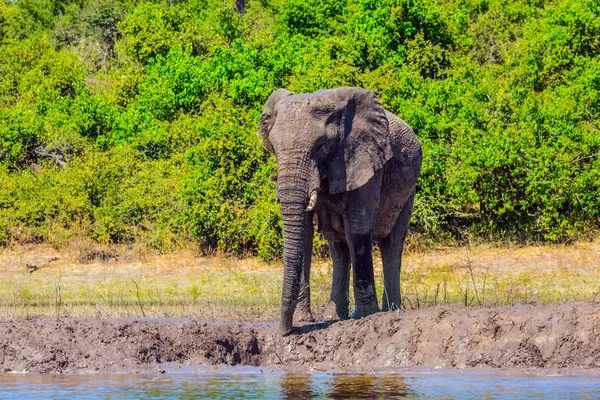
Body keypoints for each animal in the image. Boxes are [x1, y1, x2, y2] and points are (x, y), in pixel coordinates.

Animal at [258, 86, 422, 334]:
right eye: (274, 148)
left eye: (321, 146)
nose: (286, 331)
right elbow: (305, 234)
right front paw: (305, 320)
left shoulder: (365, 159)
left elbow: (358, 227)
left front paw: (366, 316)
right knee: (339, 247)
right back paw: (335, 315)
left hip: (408, 190)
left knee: (392, 244)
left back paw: (391, 312)